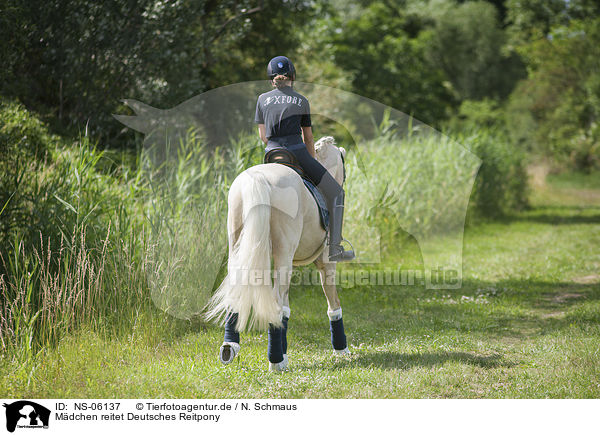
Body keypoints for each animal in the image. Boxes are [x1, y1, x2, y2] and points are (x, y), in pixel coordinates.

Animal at [206, 136, 350, 372]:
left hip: (240, 248)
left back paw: (230, 348)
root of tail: (258, 179)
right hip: (284, 256)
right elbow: (333, 302)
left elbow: (285, 308)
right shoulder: (325, 263)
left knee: (240, 292)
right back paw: (275, 361)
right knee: (274, 300)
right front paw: (341, 349)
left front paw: (285, 353)